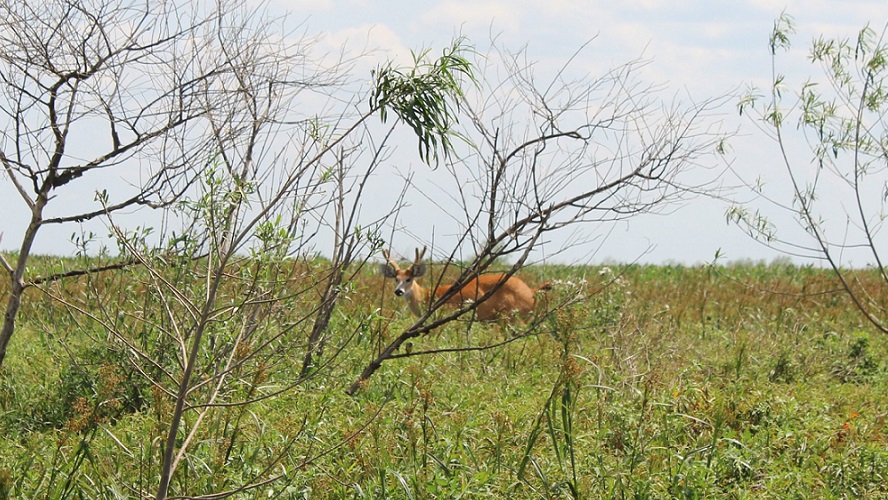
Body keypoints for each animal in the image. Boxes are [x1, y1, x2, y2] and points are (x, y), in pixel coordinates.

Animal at [380, 248, 552, 322]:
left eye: (409, 279)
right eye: (396, 278)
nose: (398, 291)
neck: (426, 297)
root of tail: (531, 291)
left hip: (513, 316)